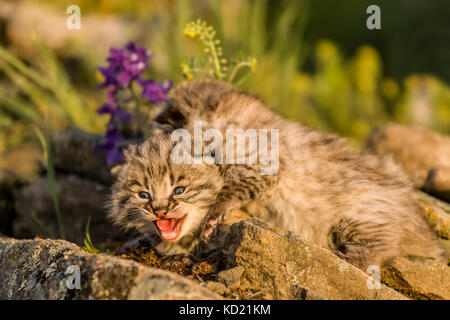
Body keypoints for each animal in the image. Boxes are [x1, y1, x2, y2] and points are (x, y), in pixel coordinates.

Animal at [109, 79, 442, 268]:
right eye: (144, 193)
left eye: (178, 189)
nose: (159, 208)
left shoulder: (265, 163)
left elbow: (230, 191)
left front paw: (211, 219)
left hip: (361, 218)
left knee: (379, 252)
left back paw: (345, 259)